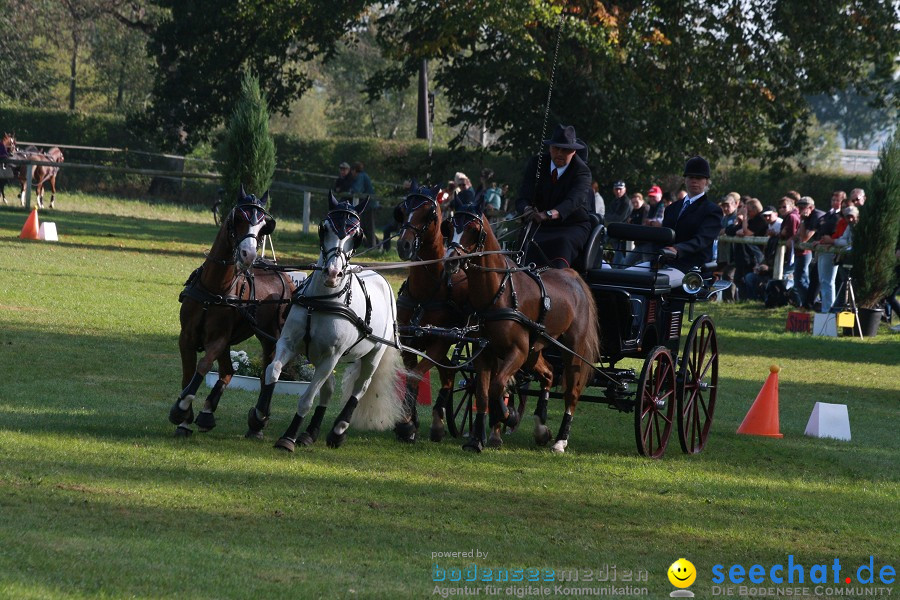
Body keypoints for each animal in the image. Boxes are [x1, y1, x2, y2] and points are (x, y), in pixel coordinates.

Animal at [169, 186, 306, 436]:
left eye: (264, 225)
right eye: (240, 218)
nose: (248, 254)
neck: (214, 289)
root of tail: (283, 274)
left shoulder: (219, 339)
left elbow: (203, 366)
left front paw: (181, 409)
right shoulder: (187, 338)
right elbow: (189, 373)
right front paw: (185, 418)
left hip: (272, 336)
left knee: (269, 371)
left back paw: (259, 419)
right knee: (229, 371)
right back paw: (210, 413)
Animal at [244, 193, 402, 450]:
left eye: (356, 235)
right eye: (323, 228)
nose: (332, 273)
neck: (322, 300)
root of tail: (381, 279)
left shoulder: (331, 357)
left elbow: (307, 398)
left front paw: (288, 437)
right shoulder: (289, 343)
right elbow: (272, 371)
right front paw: (259, 417)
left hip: (371, 355)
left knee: (360, 388)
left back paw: (338, 431)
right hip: (321, 357)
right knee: (329, 389)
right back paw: (310, 433)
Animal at [442, 202, 596, 450]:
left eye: (473, 229)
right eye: (448, 227)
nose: (451, 261)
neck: (499, 292)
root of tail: (572, 275)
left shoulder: (518, 351)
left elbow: (497, 386)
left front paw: (507, 416)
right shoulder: (484, 352)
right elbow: (482, 392)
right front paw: (476, 439)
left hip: (572, 348)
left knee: (572, 391)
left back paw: (560, 440)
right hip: (535, 349)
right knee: (548, 374)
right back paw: (541, 426)